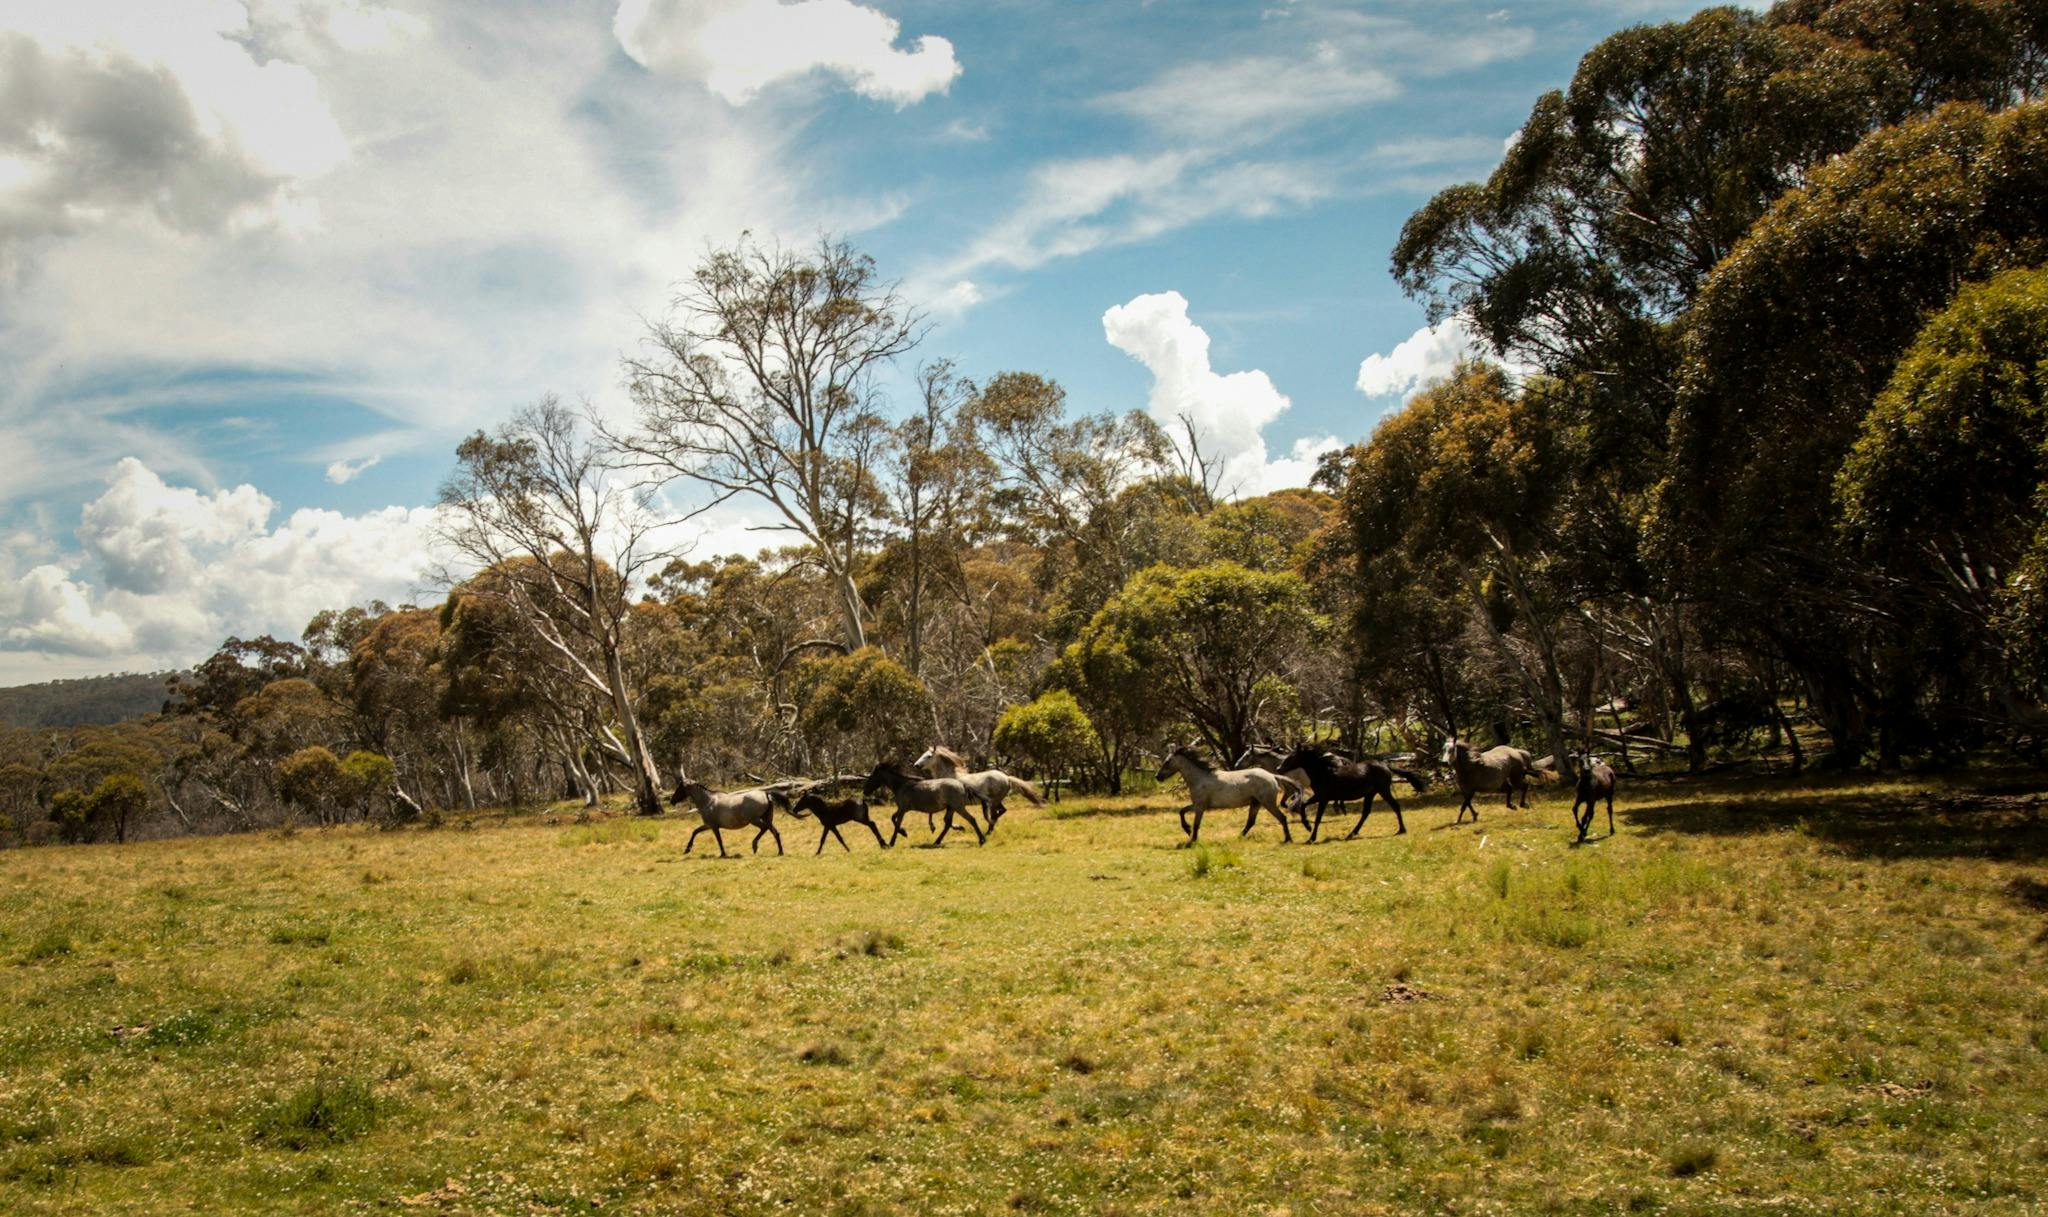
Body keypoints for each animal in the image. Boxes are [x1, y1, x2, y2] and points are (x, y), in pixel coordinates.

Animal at [911, 745, 1043, 827]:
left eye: (928, 756)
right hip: (997, 801)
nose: (916, 765)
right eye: (923, 754)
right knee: (1002, 811)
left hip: (995, 801)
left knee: (996, 813)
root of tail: (1007, 778)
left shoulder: (953, 805)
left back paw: (989, 827)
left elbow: (947, 821)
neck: (950, 776)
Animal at [1154, 745, 1295, 845]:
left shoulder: (1200, 806)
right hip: (1256, 803)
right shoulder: (1197, 805)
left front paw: (1191, 839)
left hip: (1267, 802)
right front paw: (1188, 831)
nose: (1157, 777)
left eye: (1167, 762)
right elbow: (1182, 811)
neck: (1200, 778)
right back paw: (1238, 837)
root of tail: (1272, 776)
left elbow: (1196, 823)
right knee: (1251, 822)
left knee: (1282, 818)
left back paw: (1288, 840)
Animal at [1276, 744, 1429, 841]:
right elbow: (1303, 806)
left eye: (1293, 756)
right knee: (1366, 812)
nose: (1278, 768)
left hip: (1383, 790)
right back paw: (1352, 834)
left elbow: (1316, 816)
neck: (1324, 771)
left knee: (1395, 806)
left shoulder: (1323, 797)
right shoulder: (1320, 796)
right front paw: (1308, 828)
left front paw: (1311, 836)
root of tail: (1385, 765)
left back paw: (1401, 830)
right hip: (1371, 794)